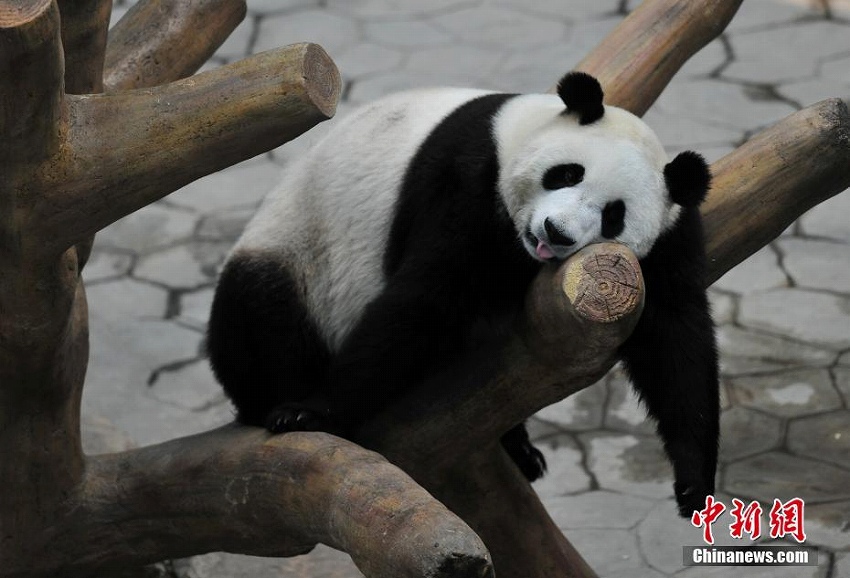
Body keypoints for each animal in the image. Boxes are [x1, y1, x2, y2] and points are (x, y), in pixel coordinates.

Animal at [207, 72, 716, 516]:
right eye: (567, 174)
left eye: (614, 215)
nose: (556, 231)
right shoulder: (468, 178)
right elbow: (425, 297)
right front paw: (311, 412)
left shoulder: (666, 243)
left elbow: (676, 339)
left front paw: (694, 484)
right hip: (297, 252)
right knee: (262, 314)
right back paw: (273, 400)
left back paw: (520, 449)